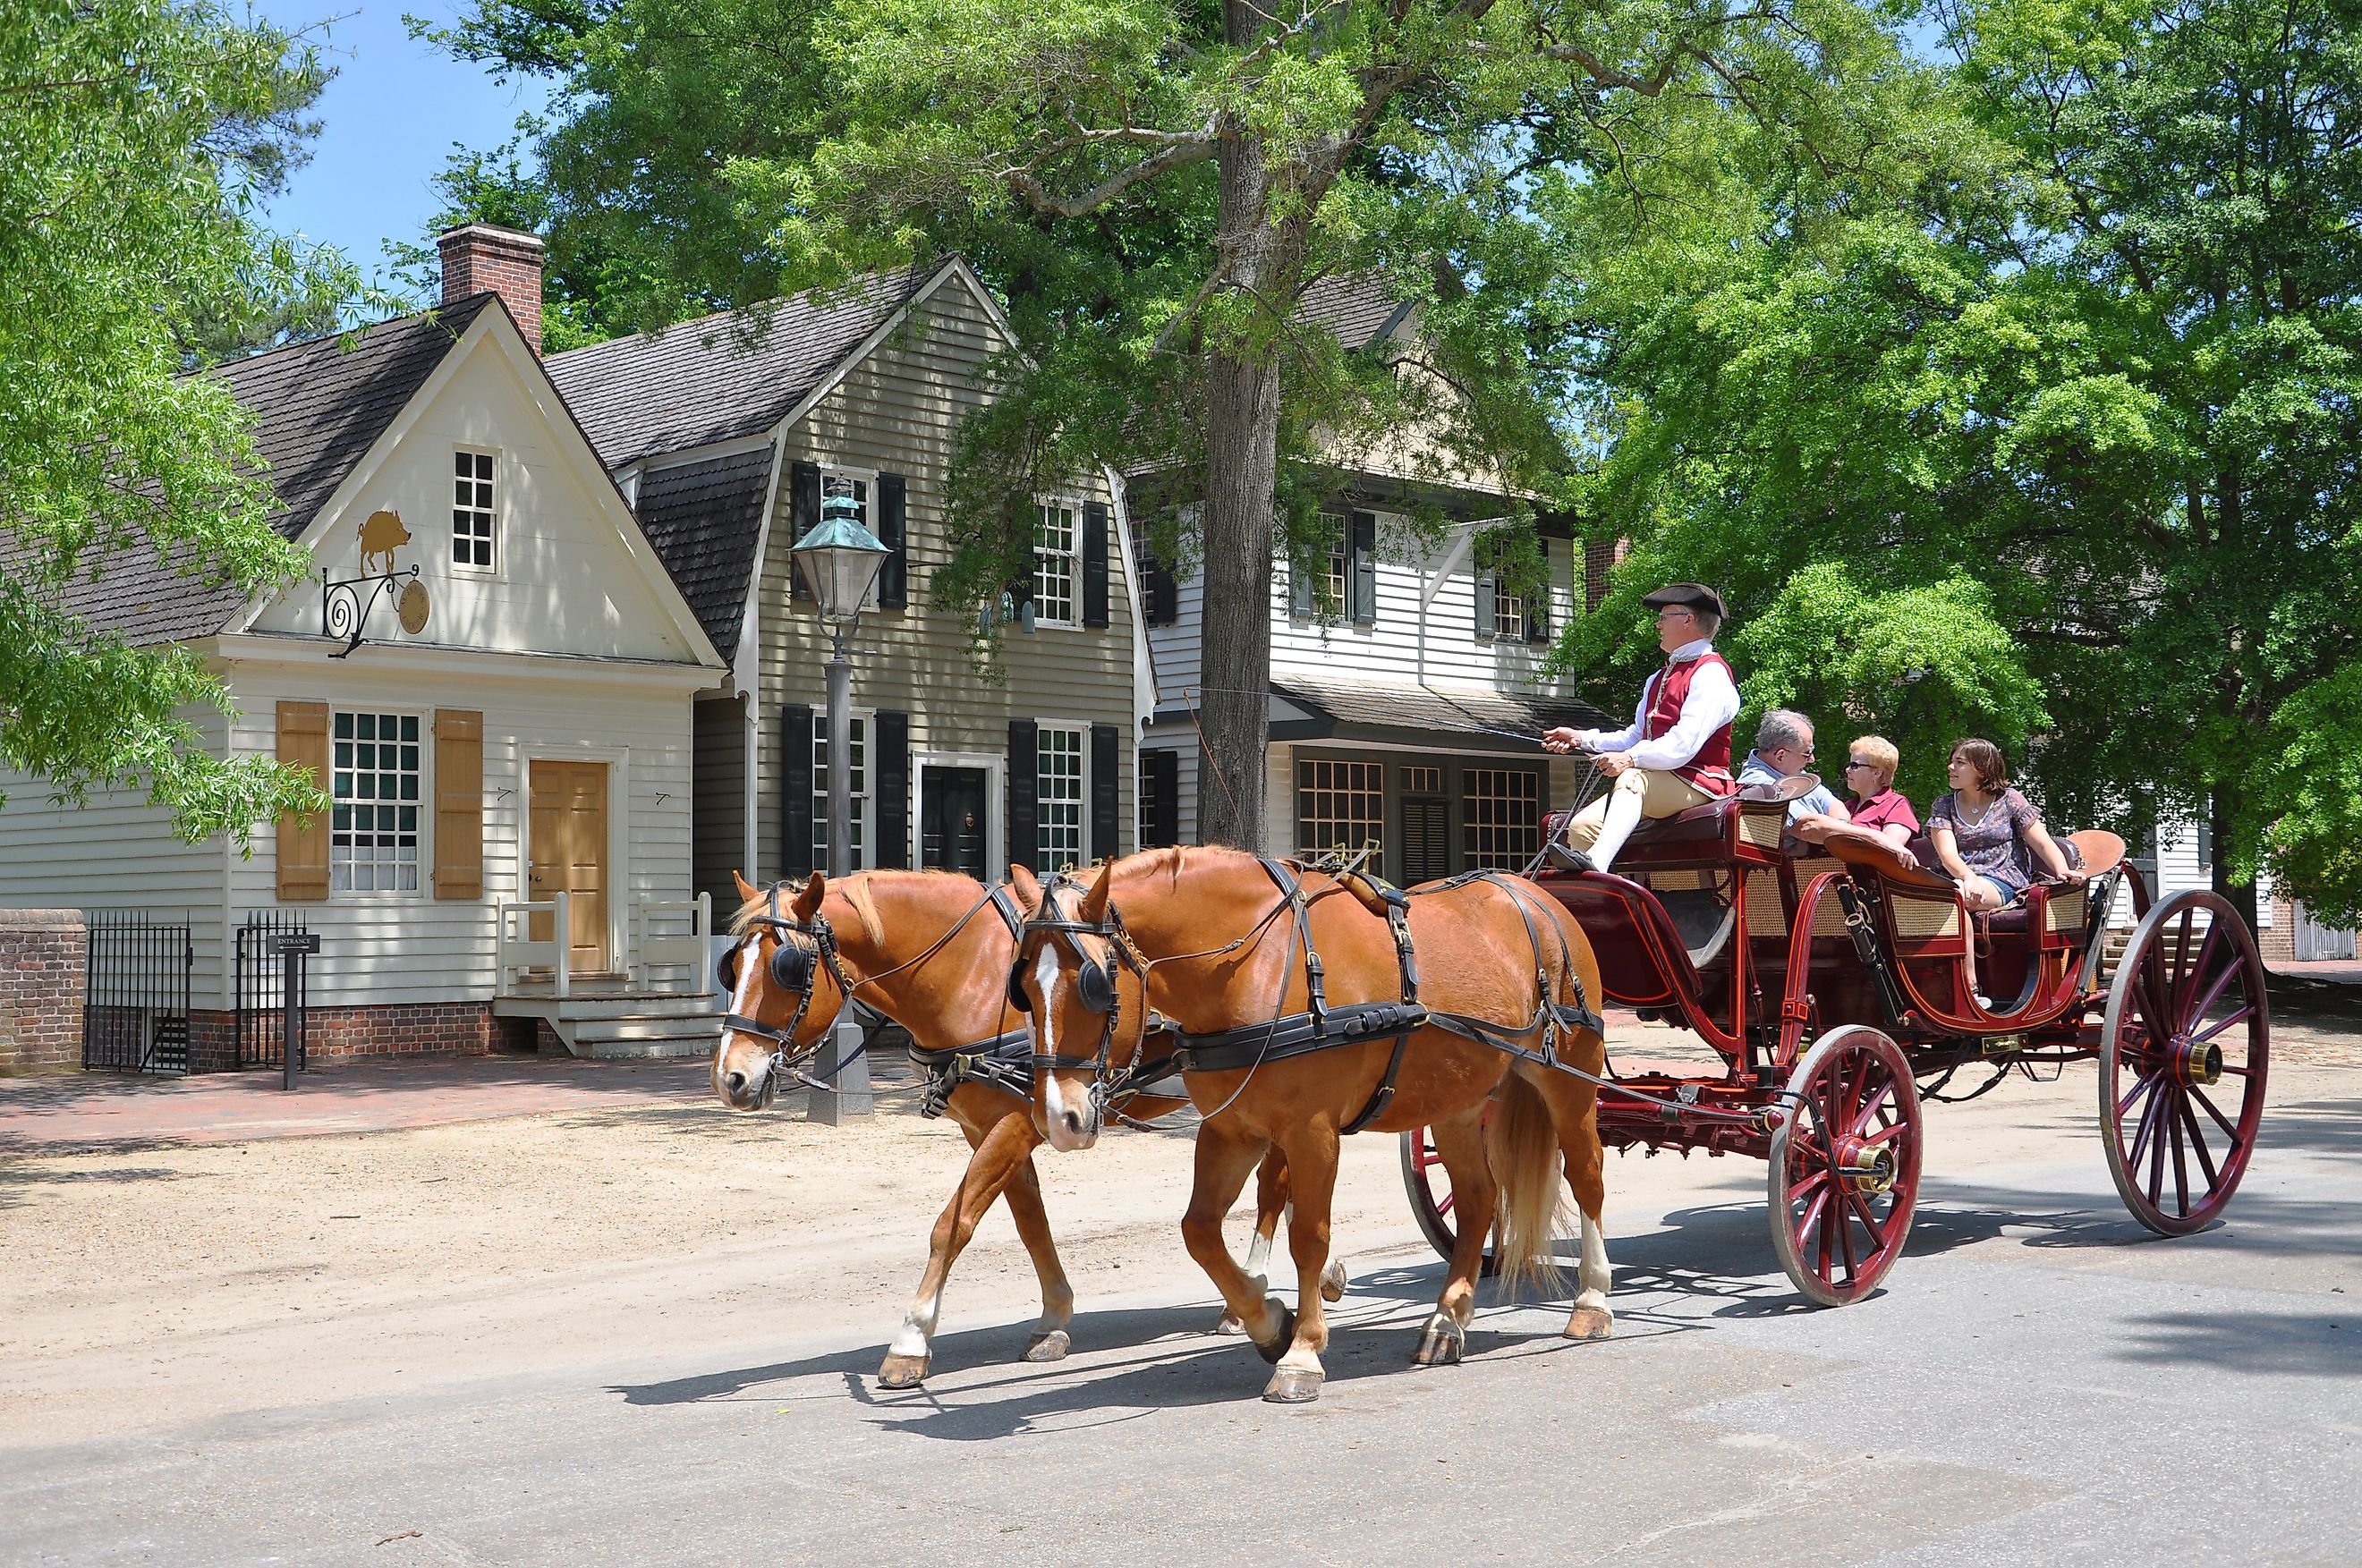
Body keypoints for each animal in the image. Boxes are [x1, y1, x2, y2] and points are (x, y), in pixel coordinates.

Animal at [709, 869, 1322, 1388]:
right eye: (733, 967)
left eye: (787, 970)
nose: (730, 1078)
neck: (968, 972)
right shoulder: (989, 1127)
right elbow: (1029, 1220)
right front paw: (1053, 1317)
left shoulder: (1014, 1120)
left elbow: (953, 1224)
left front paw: (911, 1339)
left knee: (1274, 1190)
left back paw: (1256, 1291)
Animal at [1006, 850, 1615, 1397]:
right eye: (1025, 988)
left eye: (1093, 986)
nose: (1060, 1117)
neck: (1256, 963)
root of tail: (1534, 895)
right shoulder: (1232, 1131)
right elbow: (1199, 1231)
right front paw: (1268, 1321)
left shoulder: (1312, 1132)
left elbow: (1309, 1237)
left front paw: (1302, 1351)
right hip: (1458, 1103)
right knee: (1476, 1199)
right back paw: (1448, 1320)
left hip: (1569, 1081)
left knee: (1586, 1177)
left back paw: (1593, 1302)